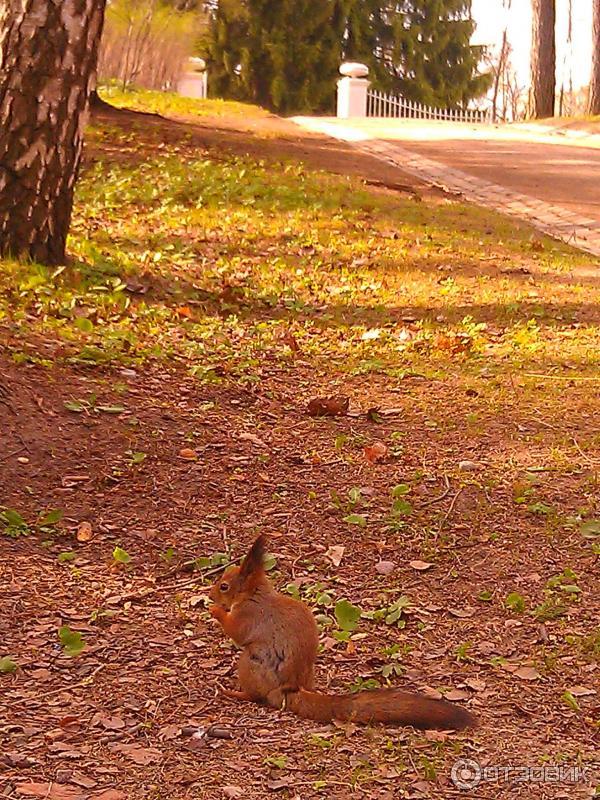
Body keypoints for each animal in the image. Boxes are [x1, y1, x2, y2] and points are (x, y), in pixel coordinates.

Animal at [210, 536, 478, 732]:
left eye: (224, 586)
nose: (211, 595)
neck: (254, 595)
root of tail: (291, 689)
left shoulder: (249, 616)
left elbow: (236, 632)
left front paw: (214, 610)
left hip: (251, 664)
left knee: (255, 695)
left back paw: (233, 692)